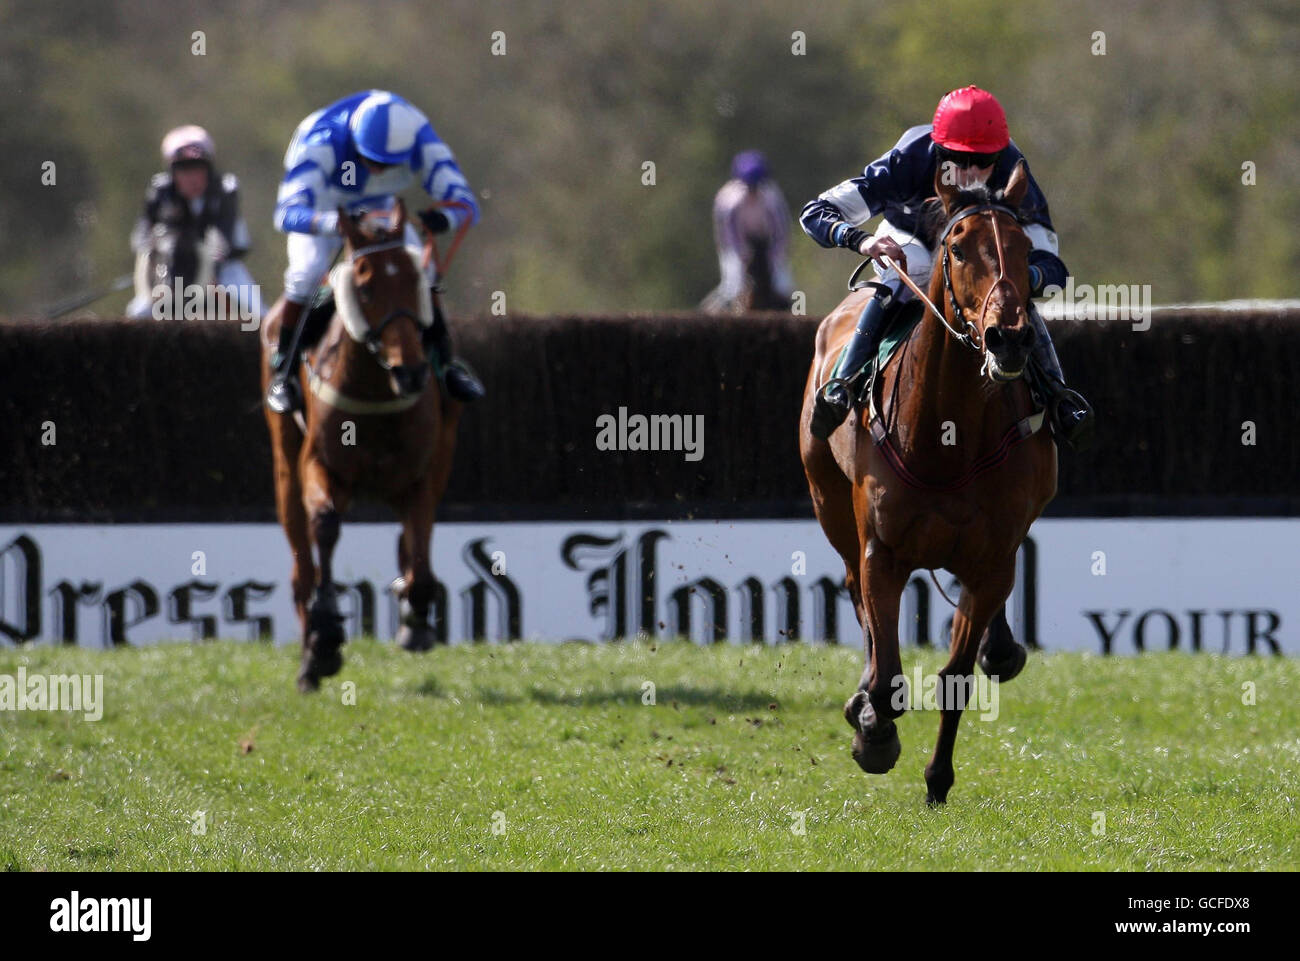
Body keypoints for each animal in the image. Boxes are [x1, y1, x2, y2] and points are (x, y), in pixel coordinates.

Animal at [260, 201, 462, 691]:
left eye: (416, 283)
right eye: (365, 287)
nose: (410, 371)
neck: (375, 392)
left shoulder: (424, 472)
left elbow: (420, 546)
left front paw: (415, 618)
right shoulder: (319, 464)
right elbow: (326, 527)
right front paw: (324, 641)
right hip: (284, 464)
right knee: (302, 563)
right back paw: (308, 659)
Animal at [795, 161, 1060, 801]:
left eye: (1023, 249)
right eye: (958, 248)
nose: (1010, 337)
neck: (947, 440)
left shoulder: (992, 560)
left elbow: (955, 677)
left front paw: (938, 780)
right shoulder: (883, 551)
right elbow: (888, 676)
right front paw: (872, 732)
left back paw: (1000, 646)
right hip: (829, 501)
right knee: (854, 594)